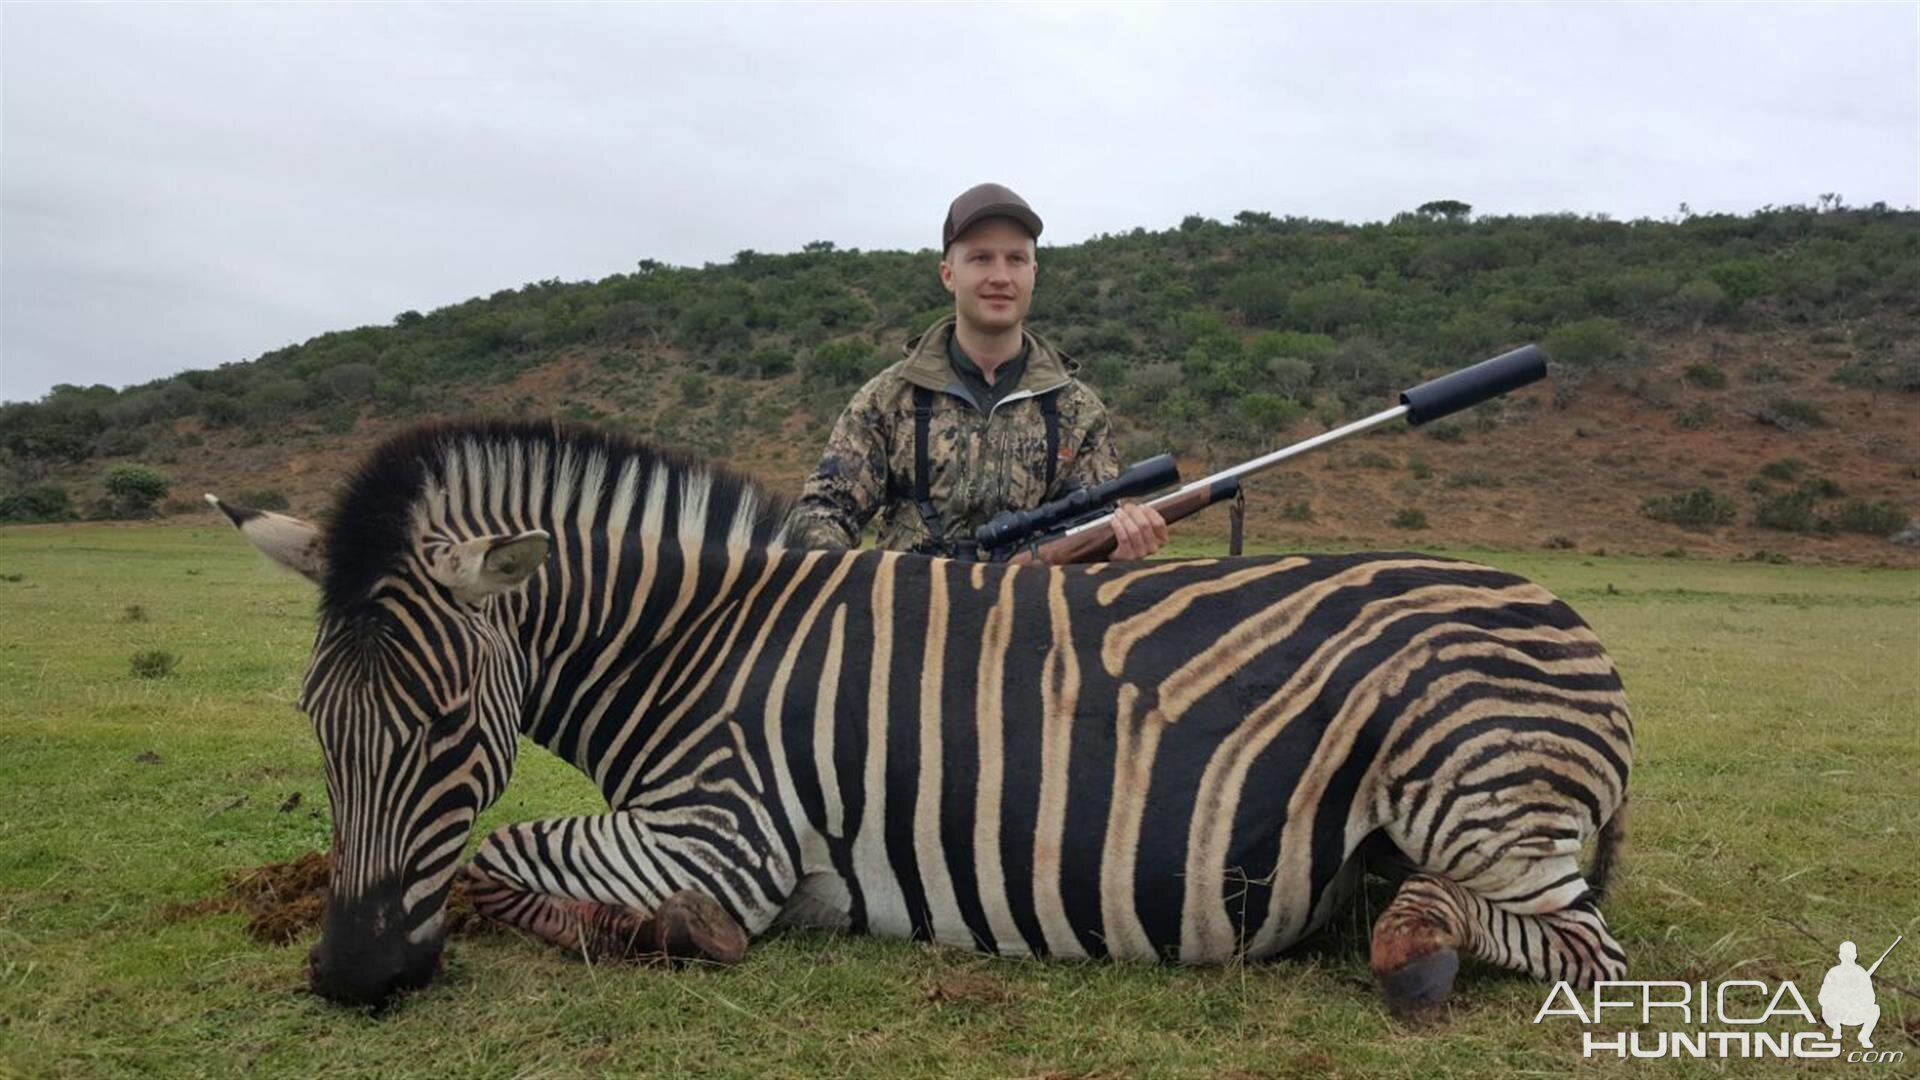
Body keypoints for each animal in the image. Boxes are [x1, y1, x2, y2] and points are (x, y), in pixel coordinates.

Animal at [217, 418, 1635, 1006]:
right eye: (315, 722)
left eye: (450, 728)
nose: (350, 981)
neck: (694, 645)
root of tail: (1566, 613)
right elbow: (488, 860)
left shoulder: (726, 832)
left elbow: (498, 856)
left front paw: (677, 935)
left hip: (1469, 780)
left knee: (1578, 950)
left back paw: (1410, 947)